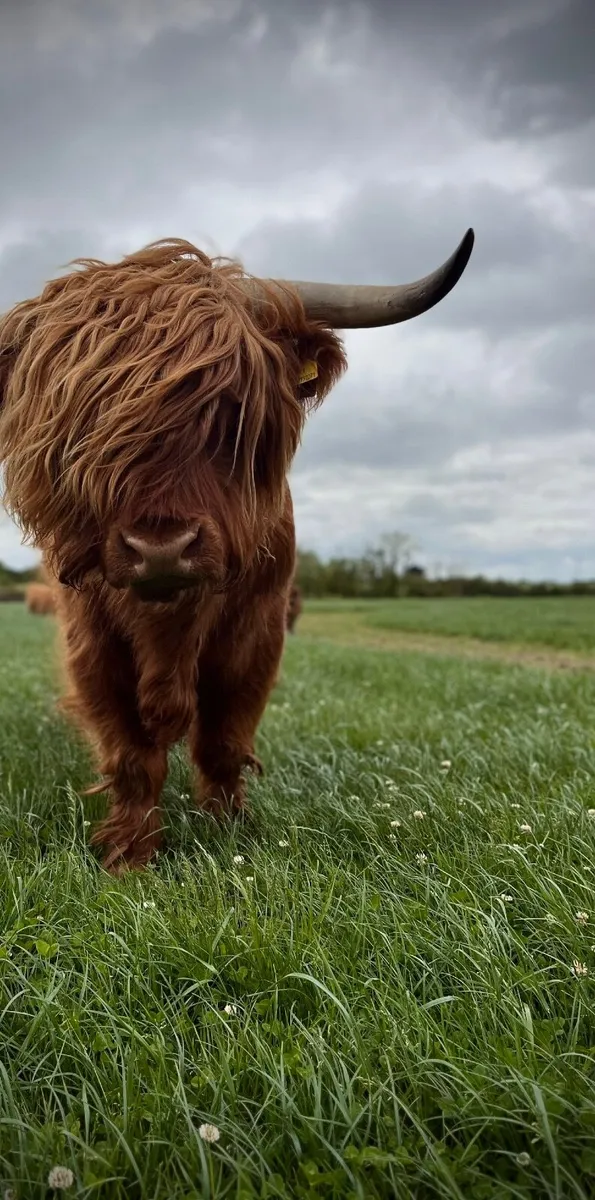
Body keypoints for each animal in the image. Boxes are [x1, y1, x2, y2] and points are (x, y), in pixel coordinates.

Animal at [0, 230, 474, 873]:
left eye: (229, 413)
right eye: (83, 427)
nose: (161, 547)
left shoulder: (258, 631)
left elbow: (224, 738)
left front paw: (229, 828)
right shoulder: (92, 642)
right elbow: (131, 755)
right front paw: (130, 854)